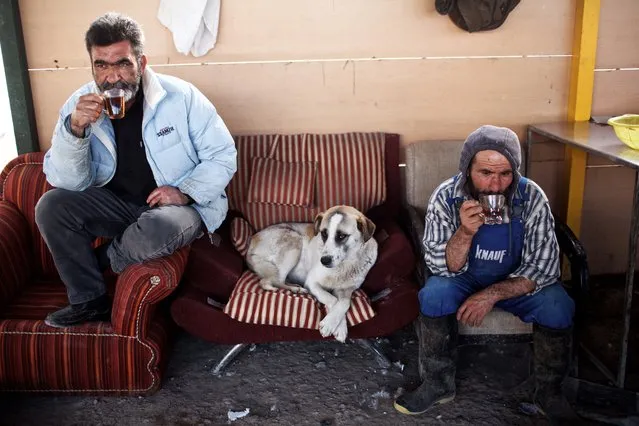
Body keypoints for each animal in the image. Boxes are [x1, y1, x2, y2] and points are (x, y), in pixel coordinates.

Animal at [246, 205, 378, 342]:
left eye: (342, 236)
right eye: (323, 234)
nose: (324, 260)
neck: (345, 264)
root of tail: (251, 242)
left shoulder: (346, 290)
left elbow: (344, 303)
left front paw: (338, 328)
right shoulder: (312, 282)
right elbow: (333, 299)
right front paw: (330, 325)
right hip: (294, 241)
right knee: (270, 281)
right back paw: (296, 289)